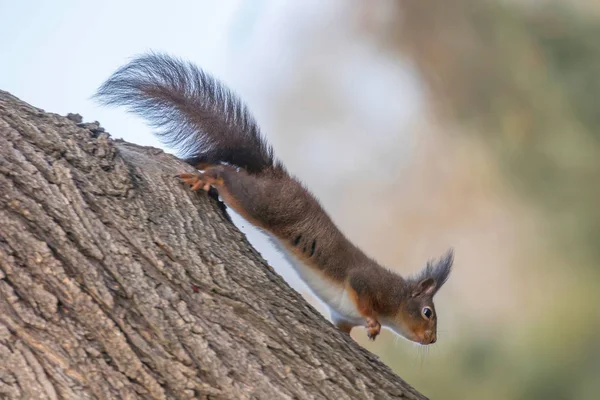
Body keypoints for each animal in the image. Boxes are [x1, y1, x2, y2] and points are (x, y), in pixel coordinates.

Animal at [96, 53, 452, 344]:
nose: (432, 340)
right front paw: (374, 324)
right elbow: (363, 298)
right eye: (428, 313)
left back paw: (199, 166)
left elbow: (343, 326)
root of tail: (274, 175)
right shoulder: (367, 283)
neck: (396, 297)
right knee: (227, 174)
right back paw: (208, 177)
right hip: (261, 202)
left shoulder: (341, 316)